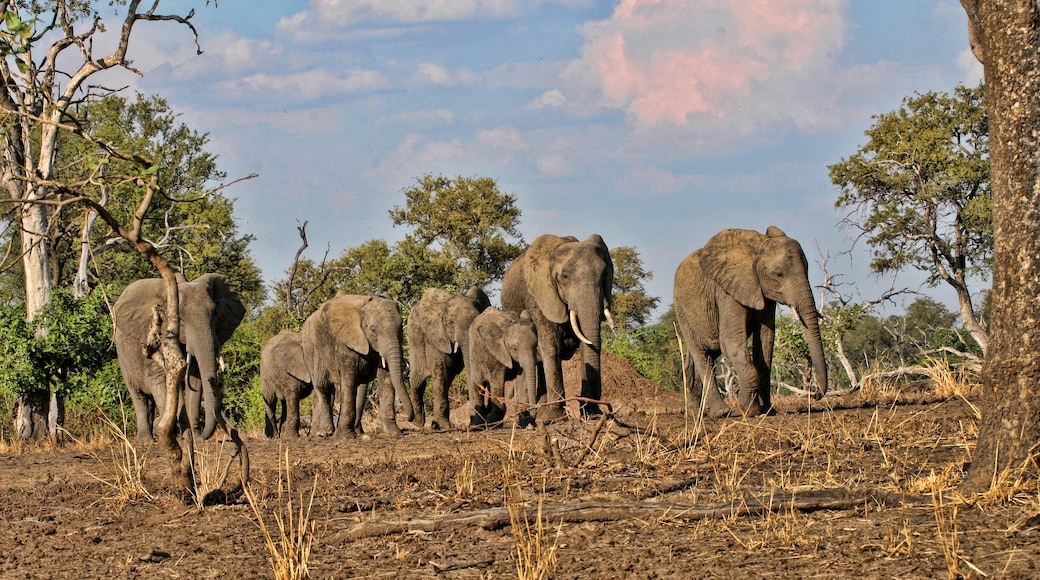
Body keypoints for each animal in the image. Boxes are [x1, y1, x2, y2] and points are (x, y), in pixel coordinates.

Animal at [112, 272, 247, 444]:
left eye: (215, 315)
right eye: (180, 319)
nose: (202, 436)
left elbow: (195, 381)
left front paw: (194, 437)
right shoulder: (153, 340)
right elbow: (160, 379)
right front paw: (176, 432)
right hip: (124, 357)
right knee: (138, 396)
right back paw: (147, 441)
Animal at [299, 293, 411, 438]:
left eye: (401, 328)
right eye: (373, 330)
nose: (410, 418)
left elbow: (386, 379)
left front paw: (394, 433)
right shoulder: (345, 343)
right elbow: (349, 381)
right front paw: (346, 436)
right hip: (310, 348)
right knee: (322, 386)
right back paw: (325, 432)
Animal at [405, 286, 490, 432]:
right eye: (451, 322)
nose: (473, 425)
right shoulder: (435, 335)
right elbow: (439, 368)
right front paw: (443, 426)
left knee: (448, 376)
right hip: (413, 337)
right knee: (417, 381)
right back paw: (417, 423)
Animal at [499, 232, 611, 422]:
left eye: (604, 275)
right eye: (564, 277)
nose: (594, 409)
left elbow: (585, 344)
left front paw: (592, 415)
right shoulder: (538, 296)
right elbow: (551, 346)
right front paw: (554, 417)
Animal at [673, 226, 827, 417]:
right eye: (779, 275)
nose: (815, 393)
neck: (757, 249)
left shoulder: (765, 294)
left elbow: (766, 340)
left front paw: (767, 411)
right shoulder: (727, 291)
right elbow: (730, 341)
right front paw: (747, 408)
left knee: (705, 354)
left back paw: (695, 414)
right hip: (682, 311)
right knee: (701, 354)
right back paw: (721, 412)